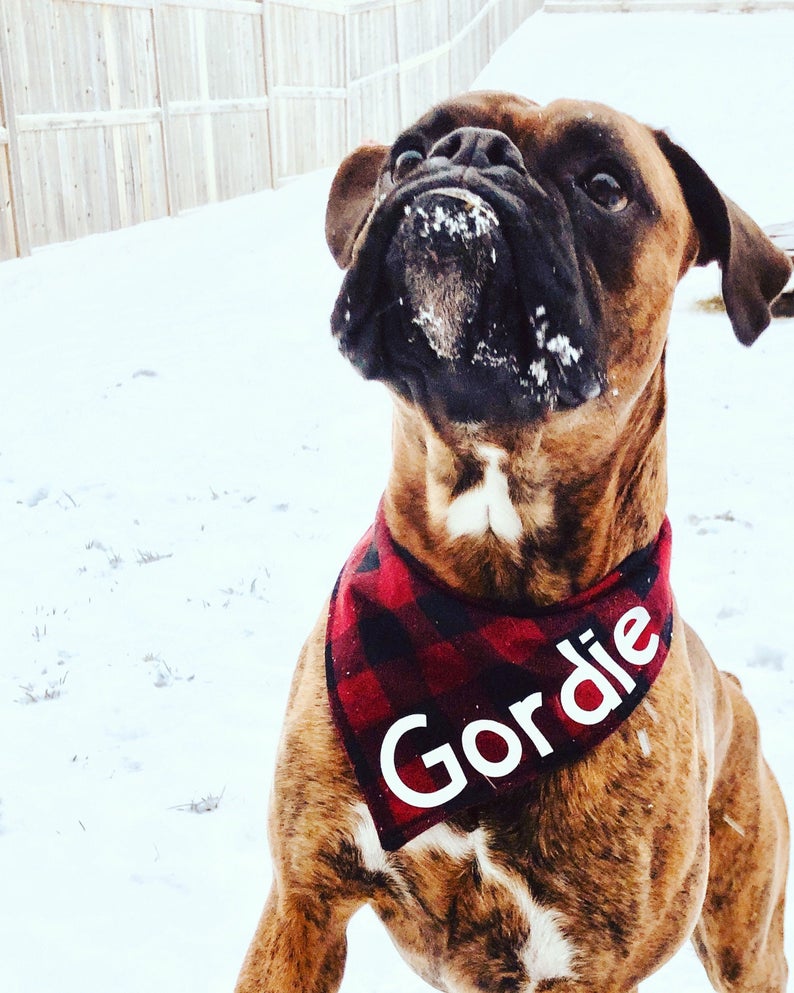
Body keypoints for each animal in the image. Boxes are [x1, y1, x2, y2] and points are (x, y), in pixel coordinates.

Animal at [232, 93, 788, 992]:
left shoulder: (584, 966)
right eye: (409, 150)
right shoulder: (302, 905)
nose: (470, 151)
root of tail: (732, 688)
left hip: (747, 938)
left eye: (606, 184)